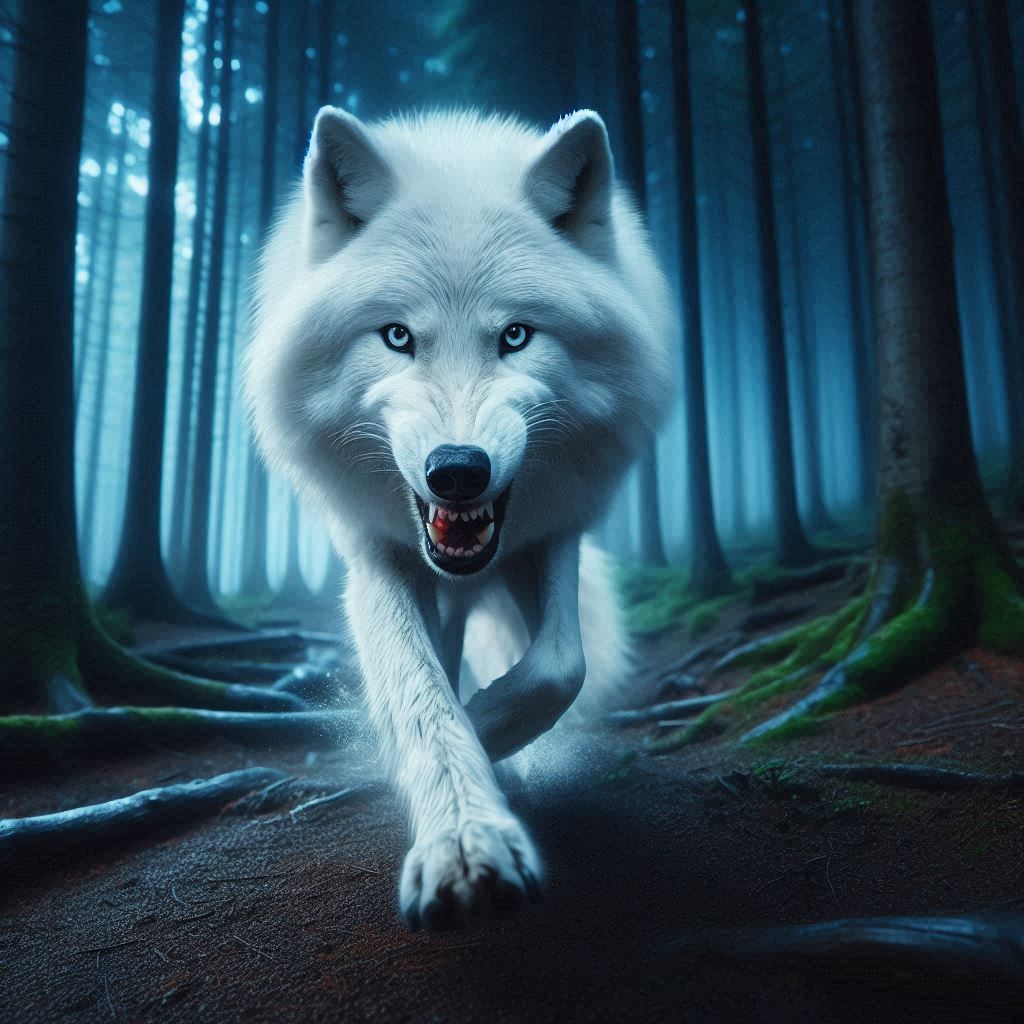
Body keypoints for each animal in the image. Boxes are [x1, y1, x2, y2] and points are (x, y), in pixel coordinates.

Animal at [244, 106, 674, 929]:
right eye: (397, 336)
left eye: (515, 336)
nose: (457, 470)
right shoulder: (375, 554)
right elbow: (419, 694)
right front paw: (464, 838)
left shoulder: (555, 530)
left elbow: (558, 666)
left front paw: (490, 732)